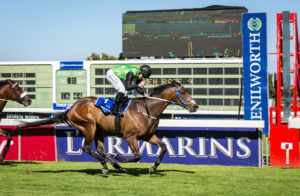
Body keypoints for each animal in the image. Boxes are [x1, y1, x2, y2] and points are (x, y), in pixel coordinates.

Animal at [18, 81, 197, 175]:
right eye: (183, 92)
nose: (195, 106)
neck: (147, 109)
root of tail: (71, 108)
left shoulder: (148, 136)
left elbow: (164, 147)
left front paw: (153, 167)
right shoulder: (130, 136)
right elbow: (137, 155)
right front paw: (120, 157)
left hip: (98, 130)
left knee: (100, 150)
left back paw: (114, 166)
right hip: (89, 126)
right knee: (87, 148)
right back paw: (110, 165)